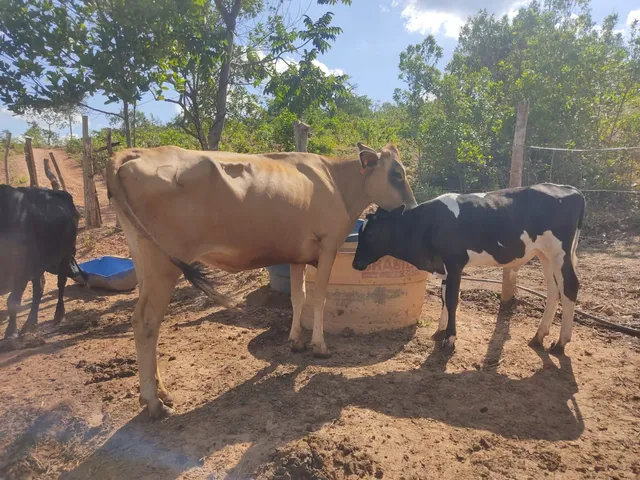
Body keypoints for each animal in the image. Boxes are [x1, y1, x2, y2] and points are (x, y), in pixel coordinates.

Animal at [0, 185, 86, 339]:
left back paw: (59, 315)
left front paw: (11, 332)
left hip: (65, 254)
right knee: (39, 288)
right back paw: (30, 323)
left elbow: (12, 302)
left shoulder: (22, 271)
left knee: (60, 283)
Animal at [105, 143, 417, 419]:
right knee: (147, 322)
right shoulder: (328, 246)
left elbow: (298, 297)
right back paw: (155, 403)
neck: (337, 183)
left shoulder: (297, 254)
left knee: (143, 321)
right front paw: (319, 346)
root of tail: (136, 153)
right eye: (396, 173)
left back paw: (159, 392)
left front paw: (295, 341)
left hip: (143, 258)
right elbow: (319, 298)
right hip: (163, 265)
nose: (413, 208)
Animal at [352, 183, 585, 355]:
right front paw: (440, 331)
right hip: (545, 255)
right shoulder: (444, 267)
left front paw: (450, 339)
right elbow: (444, 297)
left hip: (560, 252)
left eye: (371, 233)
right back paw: (539, 336)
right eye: (360, 232)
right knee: (554, 290)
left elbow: (452, 299)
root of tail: (569, 188)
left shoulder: (455, 263)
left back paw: (560, 343)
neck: (427, 225)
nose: (355, 263)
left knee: (570, 287)